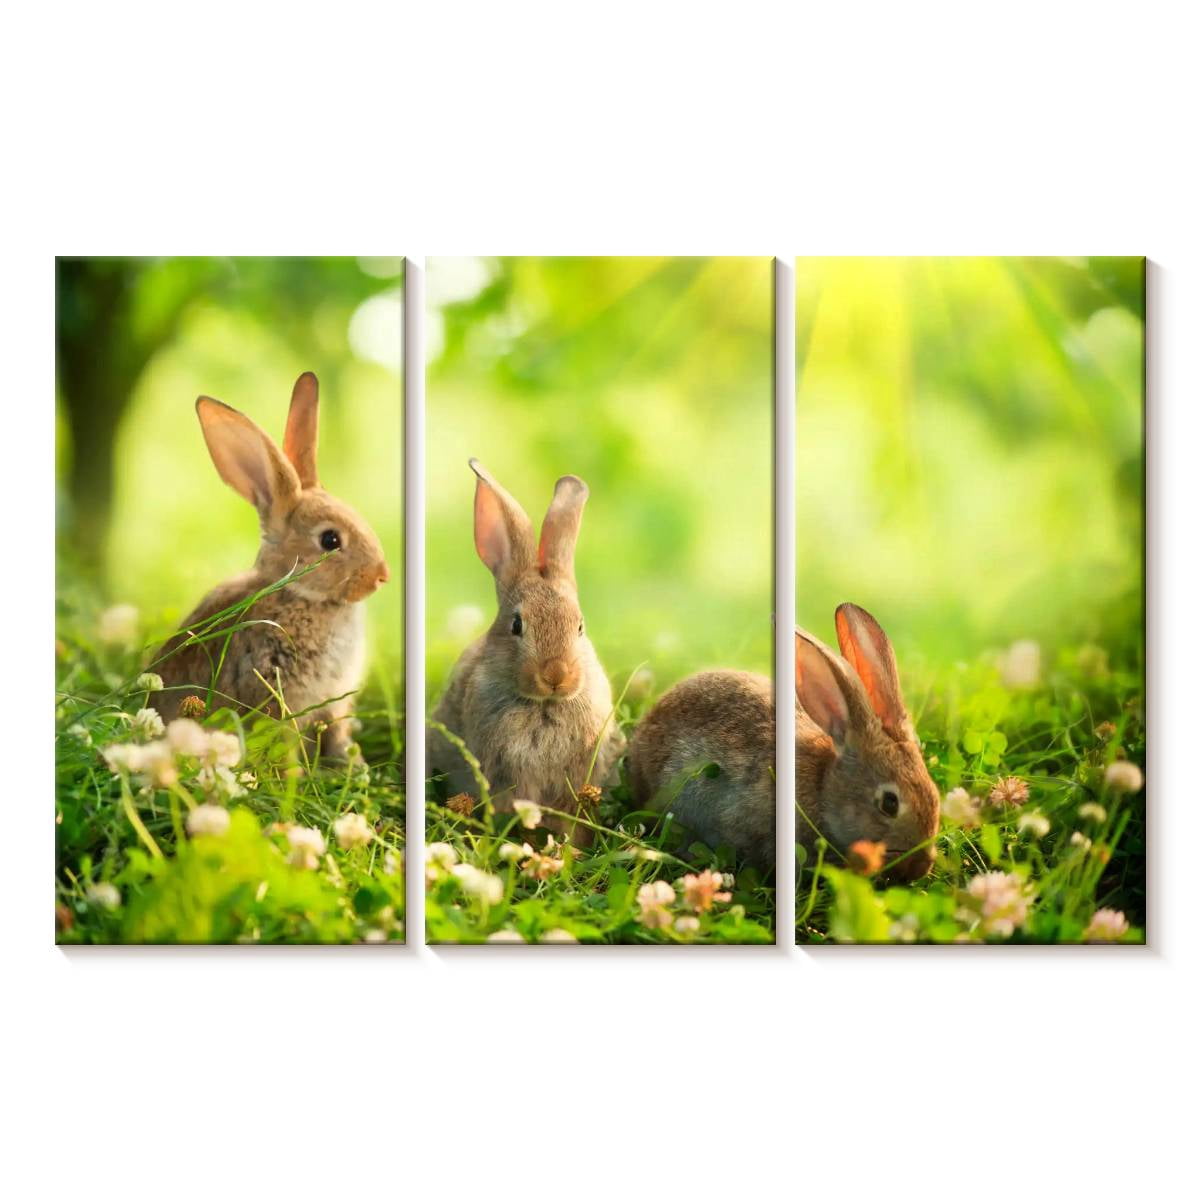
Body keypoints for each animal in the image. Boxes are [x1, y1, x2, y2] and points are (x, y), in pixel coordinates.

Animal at [149, 372, 389, 759]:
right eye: (330, 540)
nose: (382, 576)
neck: (298, 593)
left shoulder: (334, 703)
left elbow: (337, 733)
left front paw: (351, 764)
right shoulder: (274, 691)